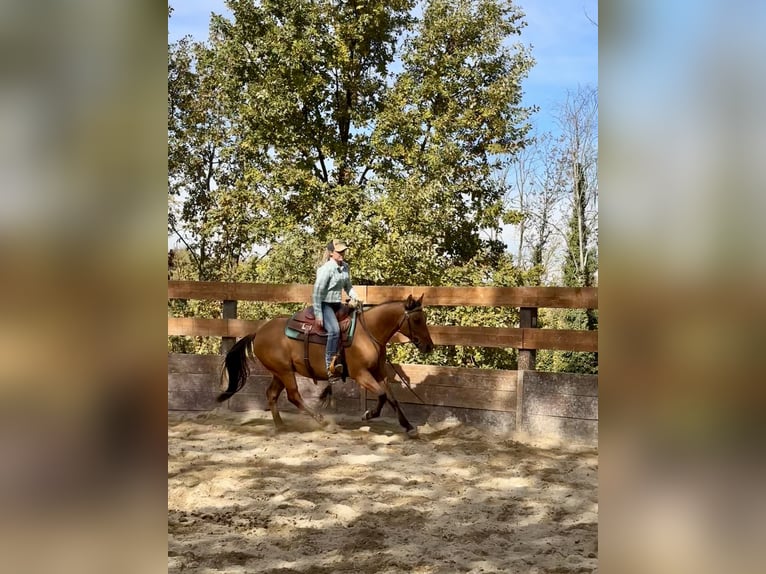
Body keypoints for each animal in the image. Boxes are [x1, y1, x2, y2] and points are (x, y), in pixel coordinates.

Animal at [217, 294, 434, 436]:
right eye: (417, 319)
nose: (429, 346)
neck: (368, 333)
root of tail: (258, 332)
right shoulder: (361, 374)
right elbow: (381, 395)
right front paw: (368, 415)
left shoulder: (379, 373)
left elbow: (392, 398)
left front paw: (408, 427)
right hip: (285, 372)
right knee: (294, 396)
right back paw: (323, 422)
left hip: (279, 372)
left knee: (272, 394)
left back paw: (281, 426)